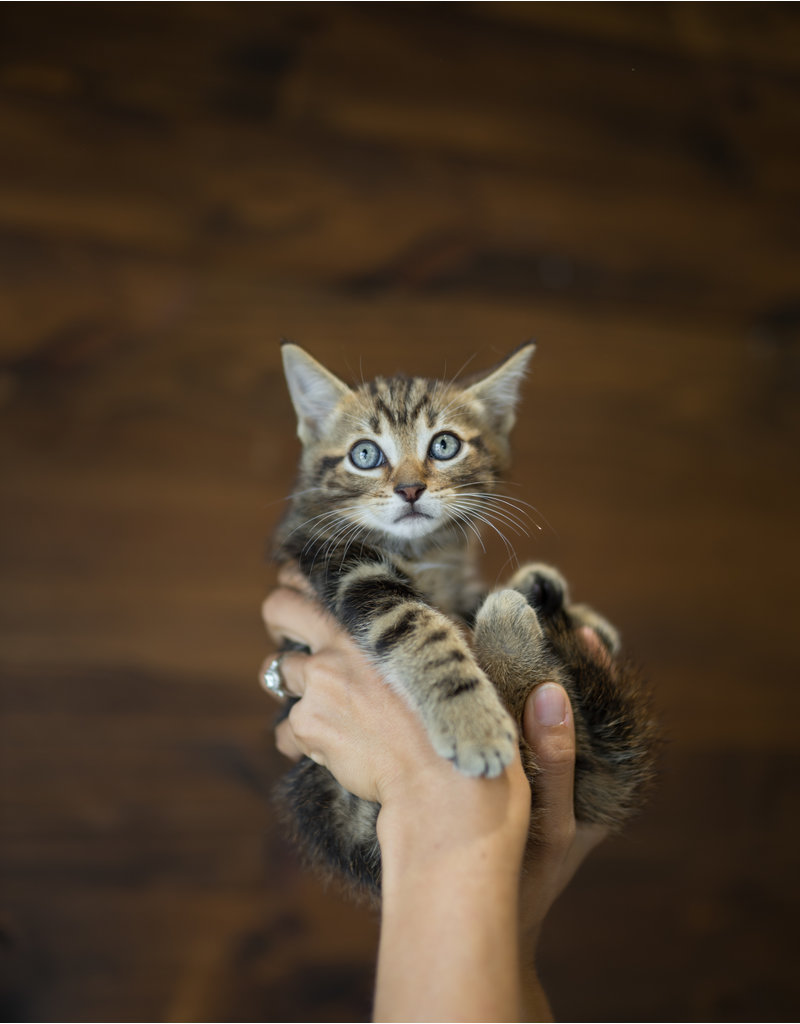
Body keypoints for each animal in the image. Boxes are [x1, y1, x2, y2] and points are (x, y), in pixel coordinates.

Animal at [270, 344, 655, 897]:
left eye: (445, 445)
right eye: (365, 454)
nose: (410, 488)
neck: (423, 551)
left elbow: (460, 600)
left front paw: (579, 612)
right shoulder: (342, 566)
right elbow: (419, 626)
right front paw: (473, 723)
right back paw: (510, 620)